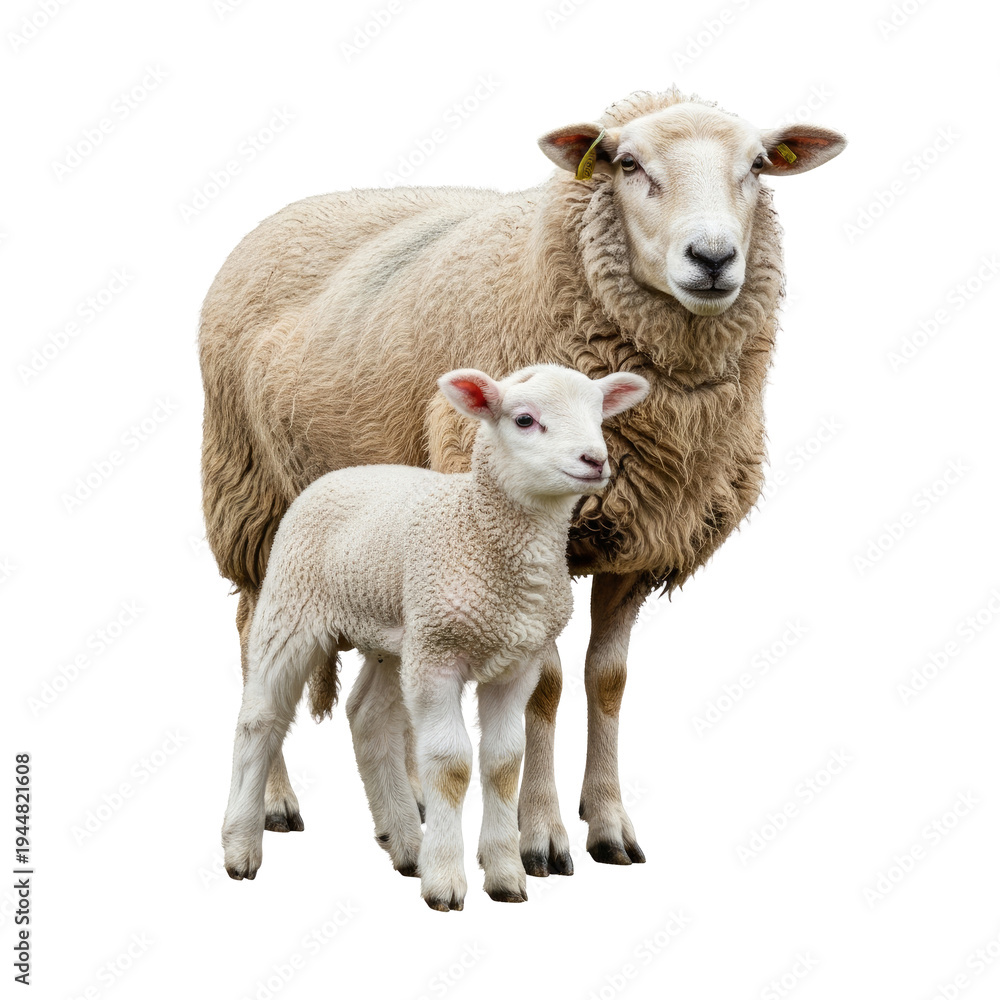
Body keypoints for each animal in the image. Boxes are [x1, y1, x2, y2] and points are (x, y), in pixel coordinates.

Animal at [220, 364, 649, 909]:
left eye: (599, 415)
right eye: (524, 419)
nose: (595, 460)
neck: (479, 527)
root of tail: (340, 473)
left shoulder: (516, 663)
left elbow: (503, 762)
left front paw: (505, 876)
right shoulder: (440, 657)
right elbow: (450, 764)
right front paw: (445, 880)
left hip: (397, 637)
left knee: (368, 718)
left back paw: (406, 846)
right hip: (295, 609)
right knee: (261, 719)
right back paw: (241, 847)